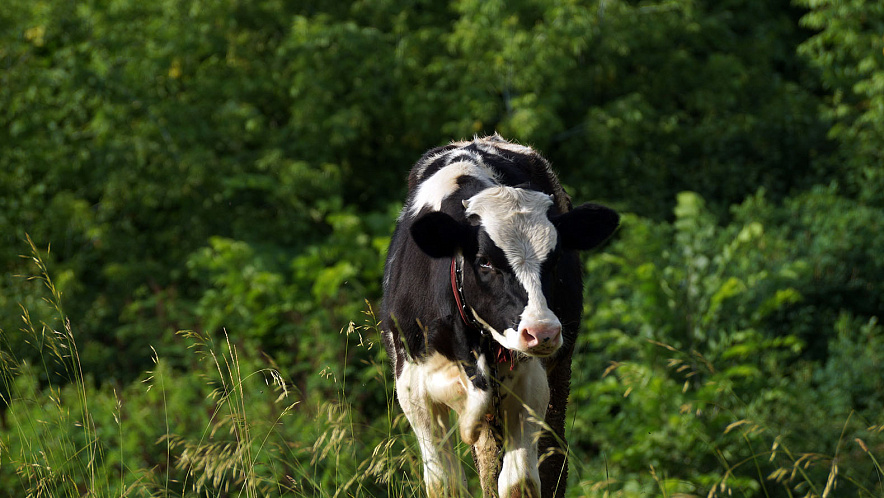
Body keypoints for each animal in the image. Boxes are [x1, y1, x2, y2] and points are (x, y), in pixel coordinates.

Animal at [382, 135, 620, 498]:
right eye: (484, 262)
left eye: (555, 259)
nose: (542, 331)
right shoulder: (413, 388)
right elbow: (445, 482)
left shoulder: (530, 385)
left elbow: (519, 481)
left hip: (557, 373)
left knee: (551, 456)